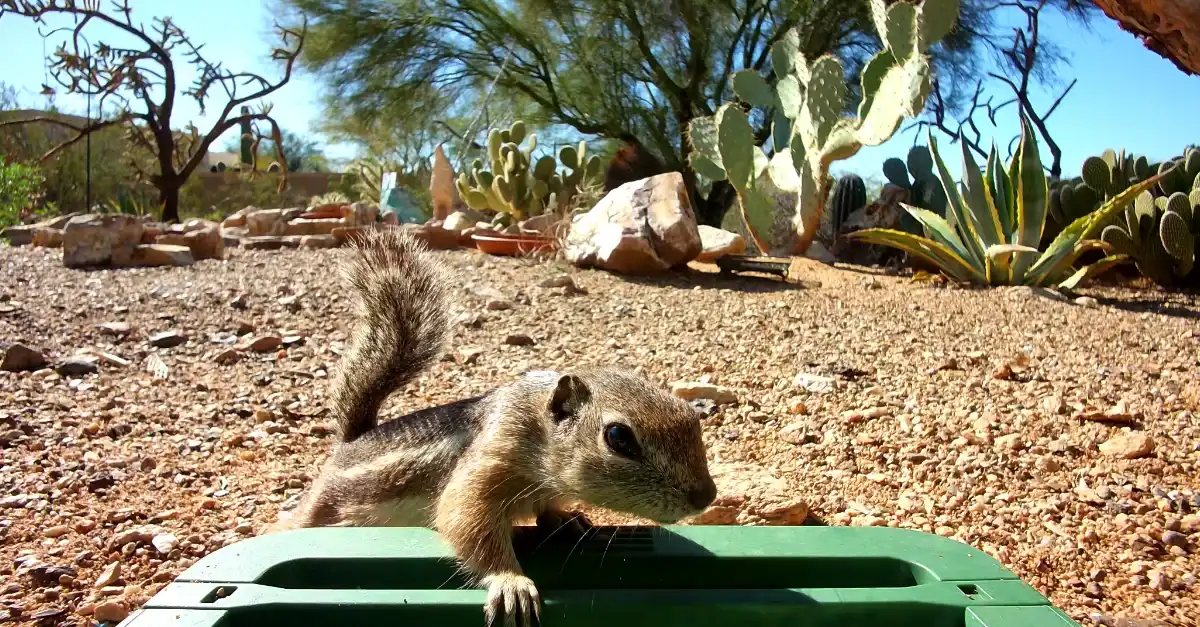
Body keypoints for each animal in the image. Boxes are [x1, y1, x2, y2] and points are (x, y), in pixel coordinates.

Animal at [282, 228, 718, 627]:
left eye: (691, 415)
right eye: (618, 438)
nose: (706, 497)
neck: (537, 431)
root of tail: (350, 441)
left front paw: (567, 518)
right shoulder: (491, 458)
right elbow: (464, 518)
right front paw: (511, 583)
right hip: (320, 511)